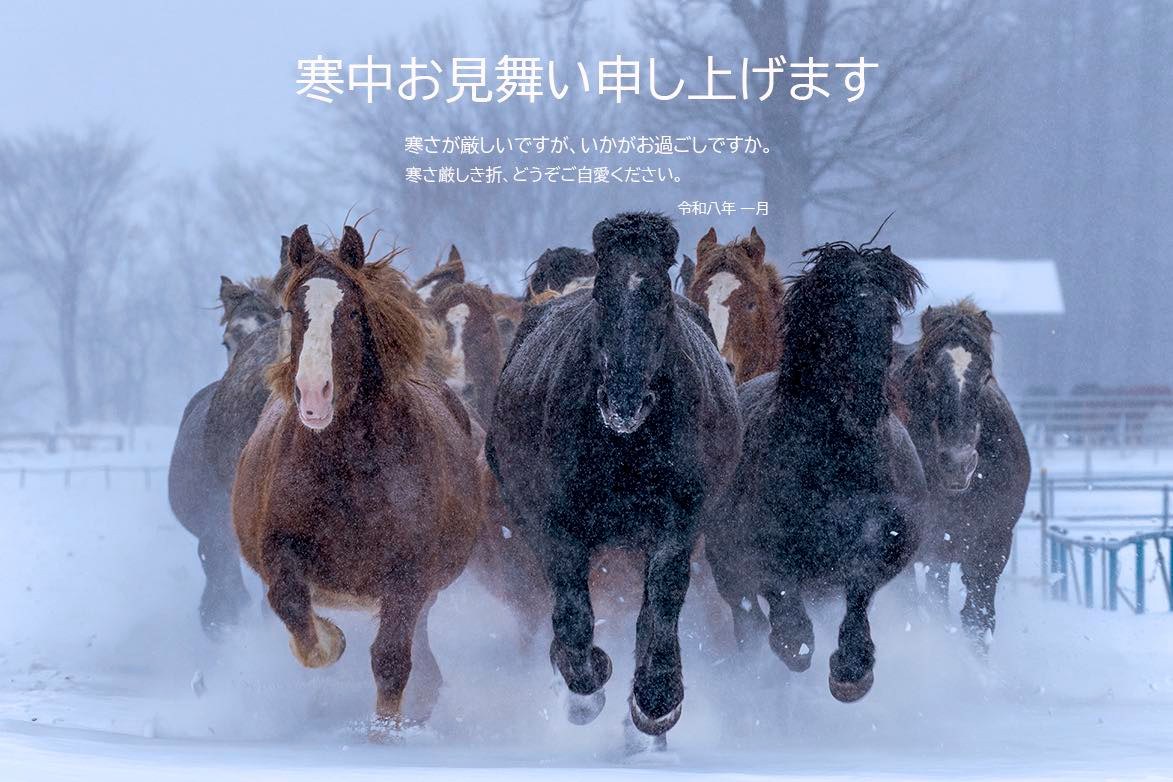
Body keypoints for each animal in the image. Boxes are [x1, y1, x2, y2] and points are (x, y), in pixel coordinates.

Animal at [233, 225, 481, 734]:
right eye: (293, 311)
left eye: (349, 311)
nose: (312, 394)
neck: (346, 468)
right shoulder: (279, 549)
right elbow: (295, 613)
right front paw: (332, 638)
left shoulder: (408, 575)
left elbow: (390, 660)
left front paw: (384, 734)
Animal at [486, 212, 741, 738]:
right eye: (602, 296)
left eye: (662, 295)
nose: (623, 403)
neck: (626, 445)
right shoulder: (557, 526)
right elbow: (572, 611)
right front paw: (586, 682)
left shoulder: (678, 522)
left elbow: (662, 599)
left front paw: (657, 698)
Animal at [704, 240, 926, 703]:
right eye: (838, 316)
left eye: (887, 315)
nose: (865, 401)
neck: (836, 461)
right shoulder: (762, 548)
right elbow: (782, 598)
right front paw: (794, 645)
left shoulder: (883, 542)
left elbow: (860, 586)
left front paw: (852, 670)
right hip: (726, 566)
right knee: (746, 614)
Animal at [891, 300, 1030, 652]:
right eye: (928, 374)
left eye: (986, 374)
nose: (959, 463)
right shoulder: (929, 552)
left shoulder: (991, 551)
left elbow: (977, 623)